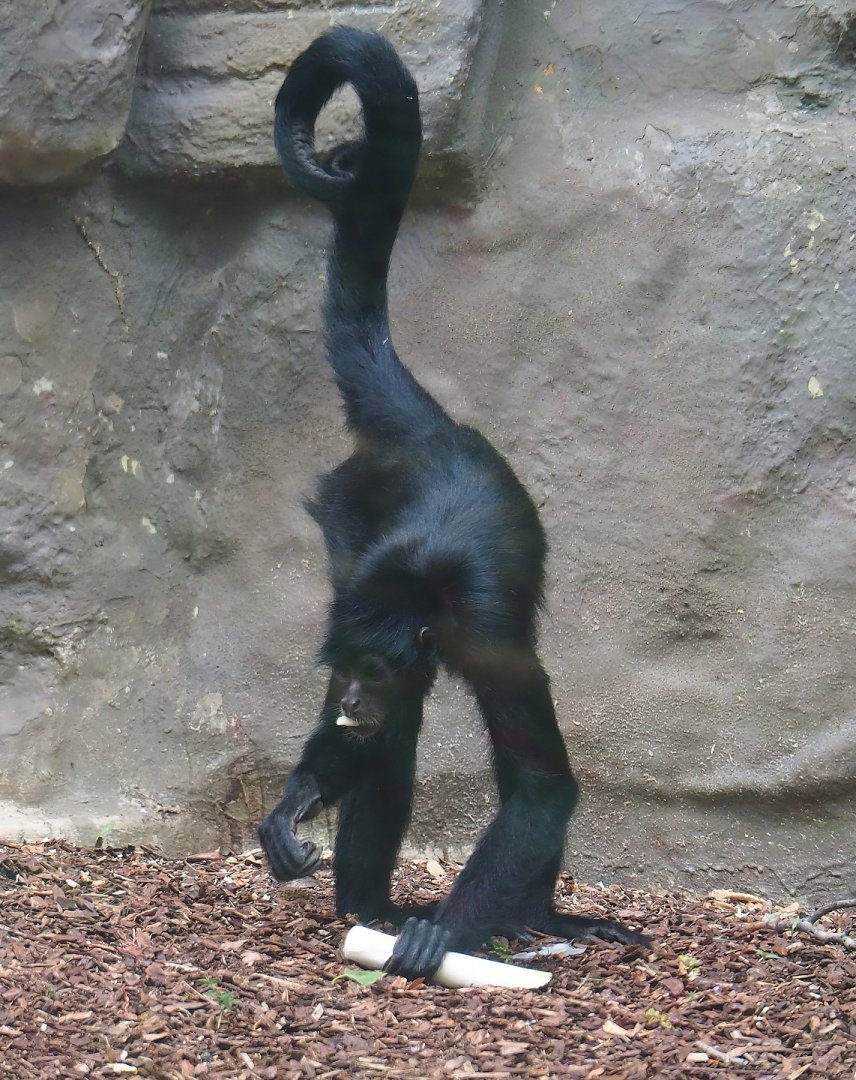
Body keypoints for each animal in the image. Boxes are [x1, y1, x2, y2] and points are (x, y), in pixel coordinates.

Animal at [258, 26, 649, 980]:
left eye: (373, 669)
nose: (357, 697)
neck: (419, 595)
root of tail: (433, 429)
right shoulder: (354, 597)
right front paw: (297, 796)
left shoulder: (483, 639)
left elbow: (542, 786)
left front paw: (446, 933)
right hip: (348, 515)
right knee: (397, 740)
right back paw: (368, 902)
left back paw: (534, 913)